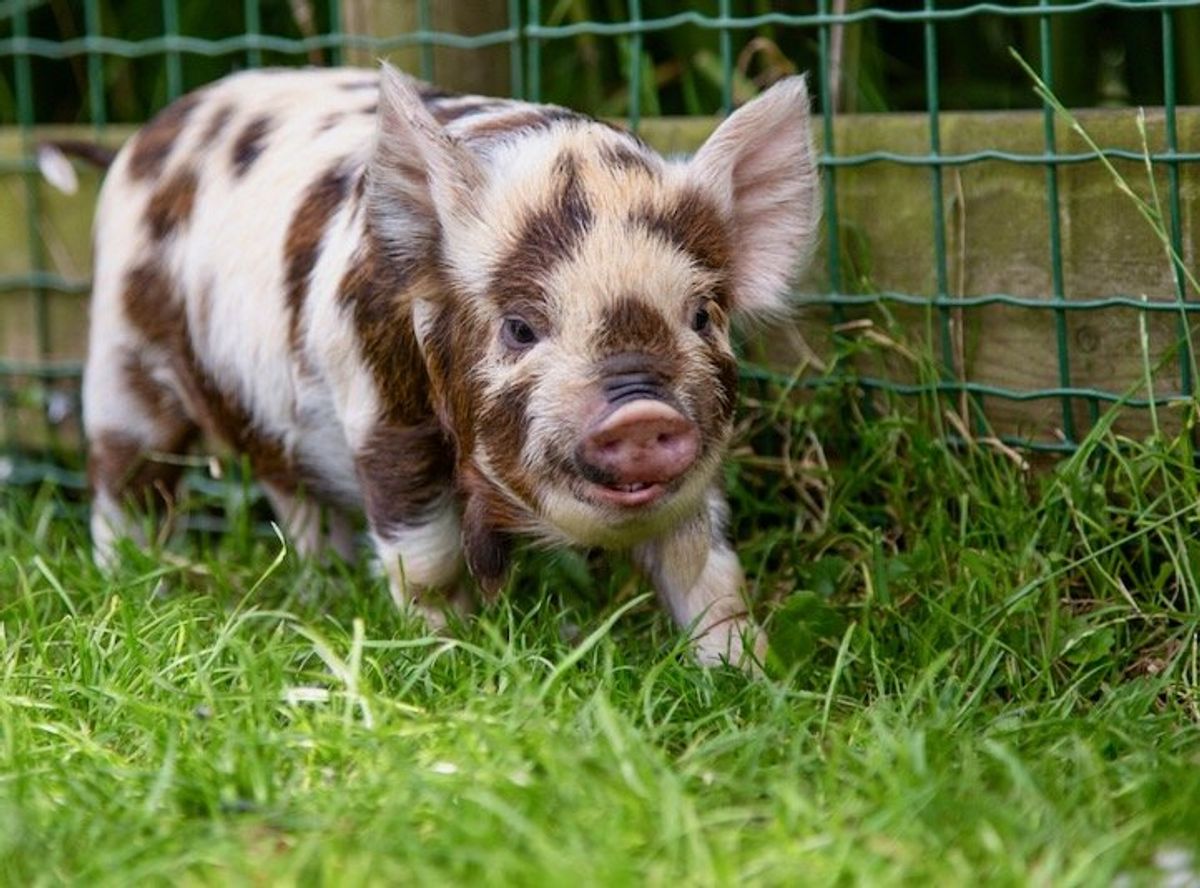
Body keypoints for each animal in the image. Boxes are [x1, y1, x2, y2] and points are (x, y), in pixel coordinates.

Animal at [77, 63, 819, 667]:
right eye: (520, 327)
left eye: (702, 317)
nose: (640, 409)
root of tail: (148, 134)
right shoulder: (385, 414)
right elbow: (423, 555)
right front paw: (446, 655)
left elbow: (709, 572)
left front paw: (747, 679)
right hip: (120, 352)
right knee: (123, 481)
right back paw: (129, 585)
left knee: (292, 495)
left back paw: (323, 589)